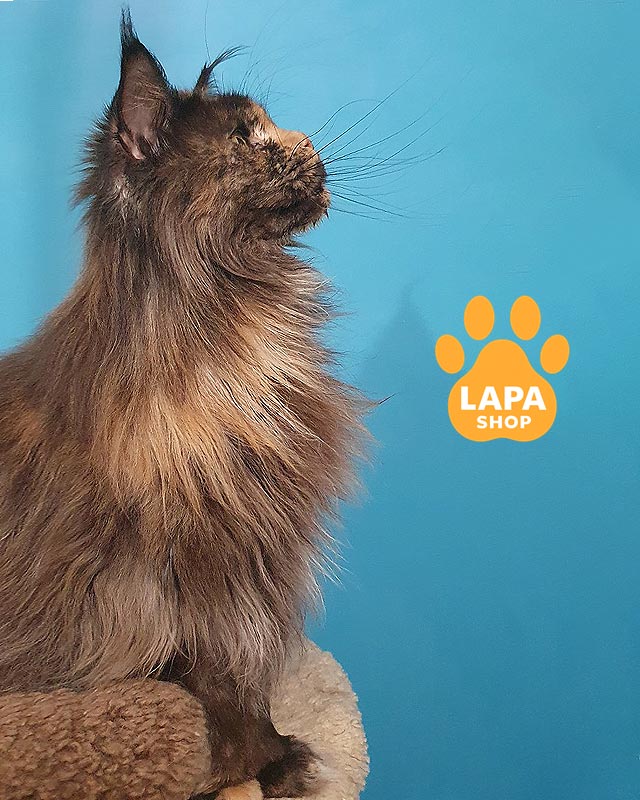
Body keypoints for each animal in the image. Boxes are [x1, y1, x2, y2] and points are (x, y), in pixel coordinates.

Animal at [0, 11, 367, 799]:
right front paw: (252, 764)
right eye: (248, 136)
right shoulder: (172, 576)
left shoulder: (242, 561)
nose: (313, 149)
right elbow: (214, 681)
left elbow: (242, 679)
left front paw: (271, 760)